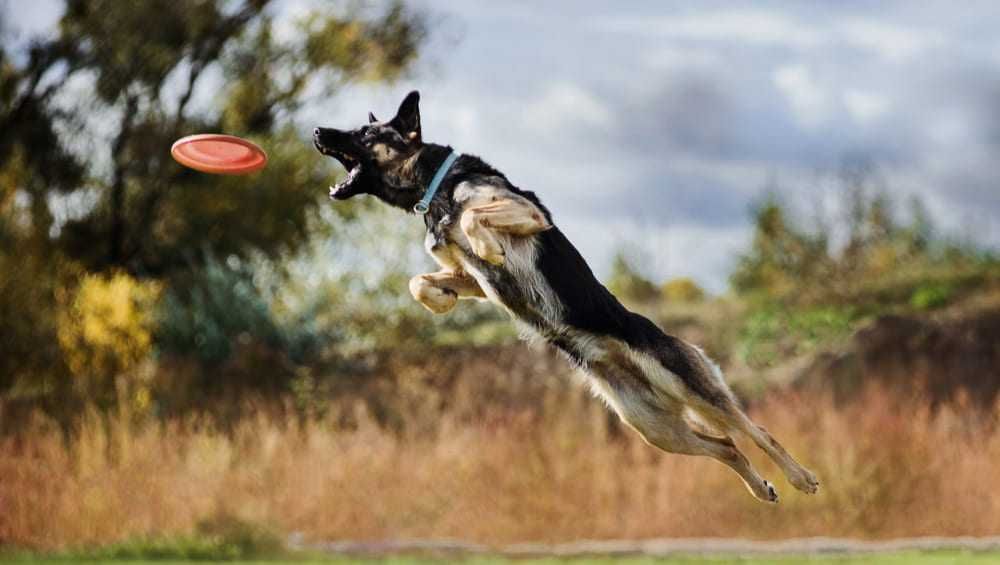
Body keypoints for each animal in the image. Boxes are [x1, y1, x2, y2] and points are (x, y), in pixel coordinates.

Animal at [314, 90, 820, 500]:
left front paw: (489, 247)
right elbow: (420, 280)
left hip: (693, 390)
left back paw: (801, 478)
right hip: (656, 429)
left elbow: (475, 216)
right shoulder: (467, 276)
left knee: (756, 430)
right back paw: (761, 488)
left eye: (365, 132)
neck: (436, 186)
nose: (317, 130)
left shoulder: (527, 213)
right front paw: (442, 299)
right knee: (727, 445)